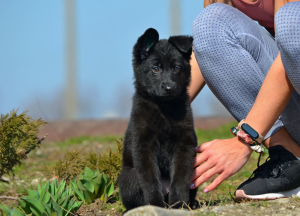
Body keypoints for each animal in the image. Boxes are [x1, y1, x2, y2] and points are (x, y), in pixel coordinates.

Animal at [118, 27, 199, 210]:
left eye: (176, 68)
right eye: (155, 68)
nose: (169, 88)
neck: (164, 108)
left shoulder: (184, 145)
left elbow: (180, 179)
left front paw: (179, 204)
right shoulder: (143, 147)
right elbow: (150, 181)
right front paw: (155, 204)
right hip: (128, 176)